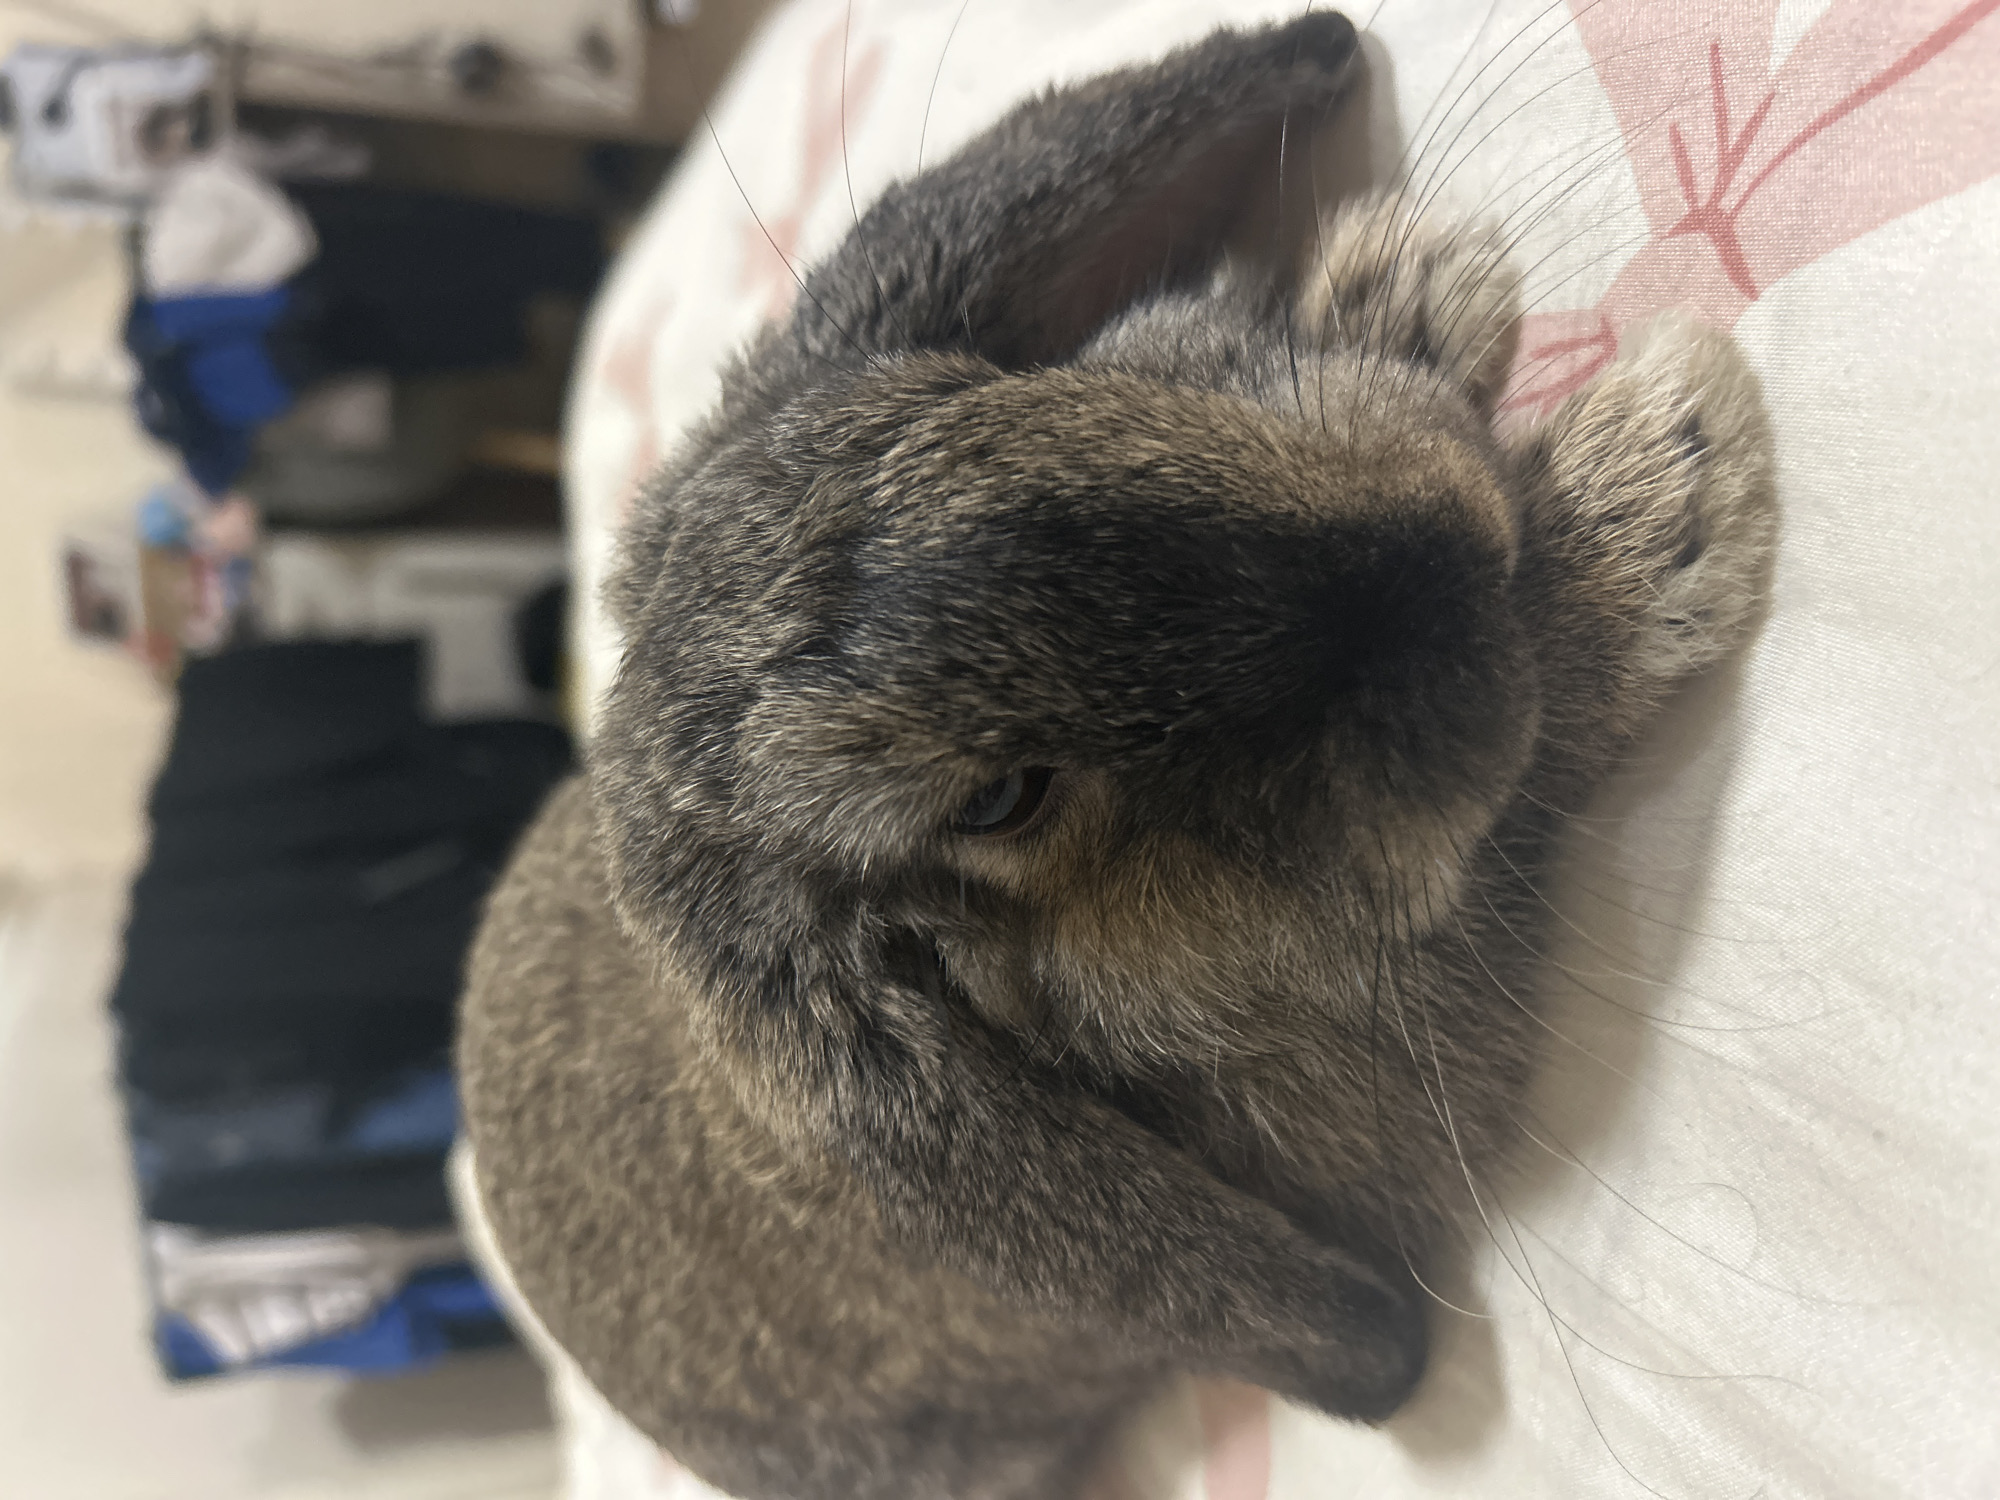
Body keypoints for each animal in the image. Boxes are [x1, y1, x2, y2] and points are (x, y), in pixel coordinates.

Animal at [457, 12, 1777, 1500]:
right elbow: (1534, 759)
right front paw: (1658, 478)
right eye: (998, 797)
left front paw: (1407, 291)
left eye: (995, 399)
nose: (1448, 552)